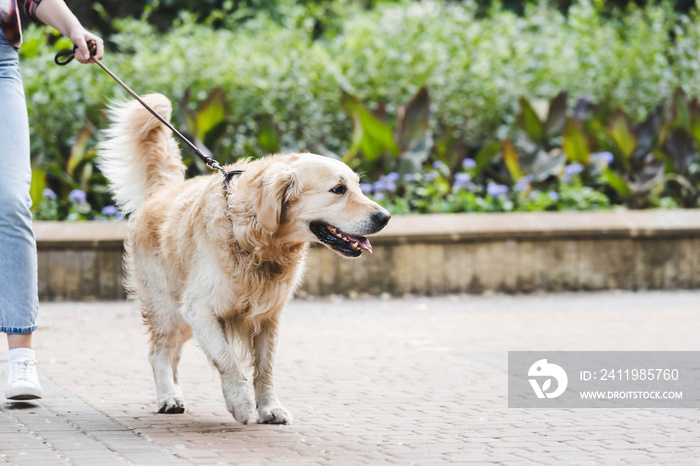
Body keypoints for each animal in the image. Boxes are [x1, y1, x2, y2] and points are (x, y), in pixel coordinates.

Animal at [98, 93, 392, 424]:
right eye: (338, 189)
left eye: (357, 186)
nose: (385, 217)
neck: (255, 239)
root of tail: (163, 190)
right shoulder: (200, 309)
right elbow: (227, 359)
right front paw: (239, 402)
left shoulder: (268, 316)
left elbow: (265, 368)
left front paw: (269, 407)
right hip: (169, 308)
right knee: (158, 351)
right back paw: (168, 396)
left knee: (171, 353)